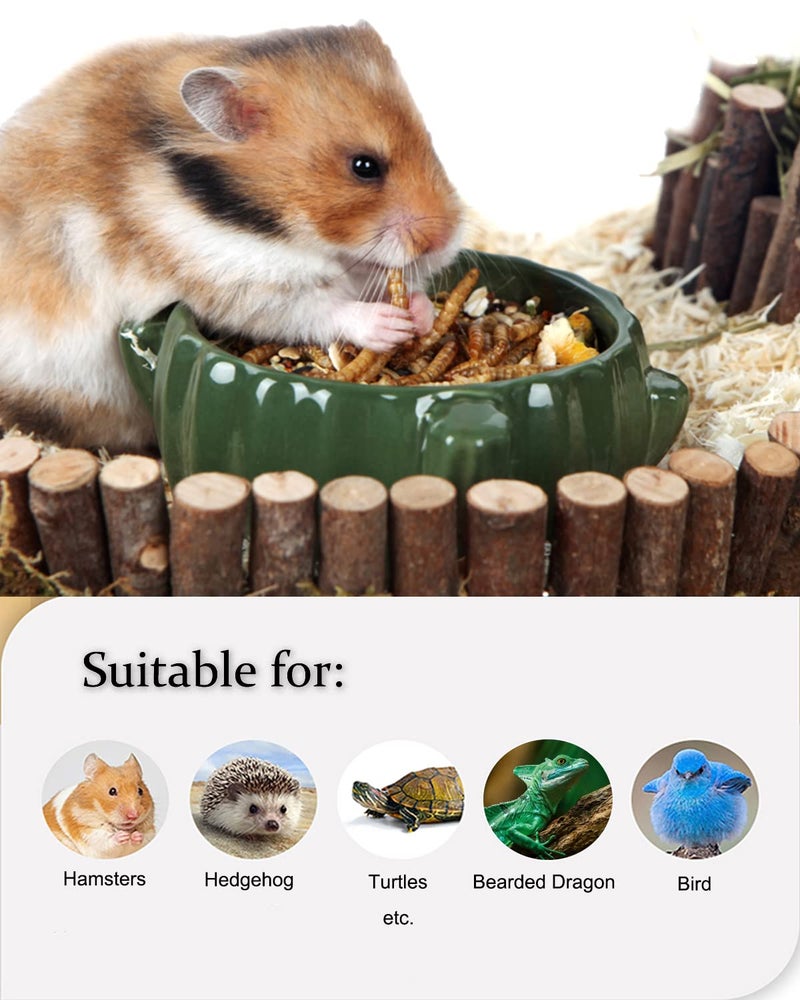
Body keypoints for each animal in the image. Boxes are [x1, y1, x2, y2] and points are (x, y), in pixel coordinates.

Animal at [0, 23, 463, 451]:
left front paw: (422, 313)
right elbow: (319, 309)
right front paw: (389, 325)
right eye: (364, 166)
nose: (446, 242)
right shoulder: (241, 284)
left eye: (432, 141)